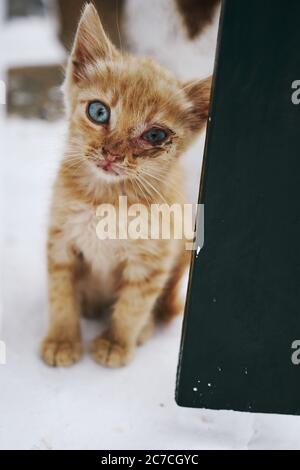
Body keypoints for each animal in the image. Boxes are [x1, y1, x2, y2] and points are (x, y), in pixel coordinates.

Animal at [41, 3, 211, 370]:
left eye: (156, 135)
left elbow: (133, 306)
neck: (106, 198)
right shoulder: (60, 241)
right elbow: (61, 293)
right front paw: (62, 339)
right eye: (98, 111)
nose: (112, 154)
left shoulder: (152, 261)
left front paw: (117, 342)